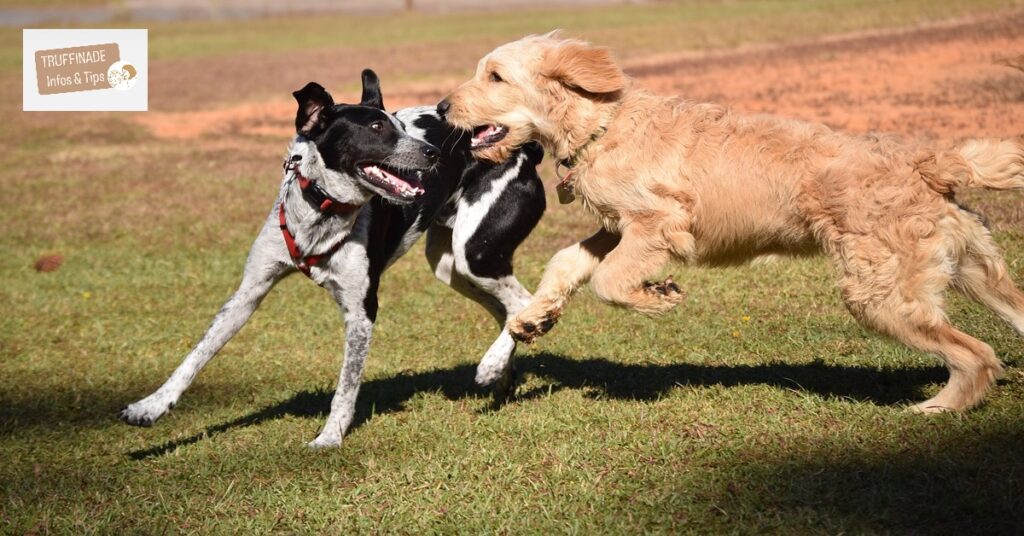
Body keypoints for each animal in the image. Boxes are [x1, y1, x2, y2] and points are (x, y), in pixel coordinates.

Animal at [118, 70, 544, 448]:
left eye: (401, 126)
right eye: (377, 127)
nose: (435, 151)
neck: (324, 211)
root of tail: (528, 149)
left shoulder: (361, 311)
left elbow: (346, 386)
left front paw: (328, 438)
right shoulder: (247, 295)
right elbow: (196, 356)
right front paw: (149, 407)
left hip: (475, 253)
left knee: (523, 303)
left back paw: (491, 365)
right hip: (450, 265)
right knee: (507, 311)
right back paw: (501, 377)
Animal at [444, 32, 1024, 411]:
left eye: (495, 76)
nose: (444, 106)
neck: (603, 123)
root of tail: (928, 163)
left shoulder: (659, 224)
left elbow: (609, 281)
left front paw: (658, 297)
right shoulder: (614, 228)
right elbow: (567, 262)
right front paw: (533, 318)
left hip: (881, 295)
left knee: (977, 356)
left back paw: (937, 407)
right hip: (975, 271)